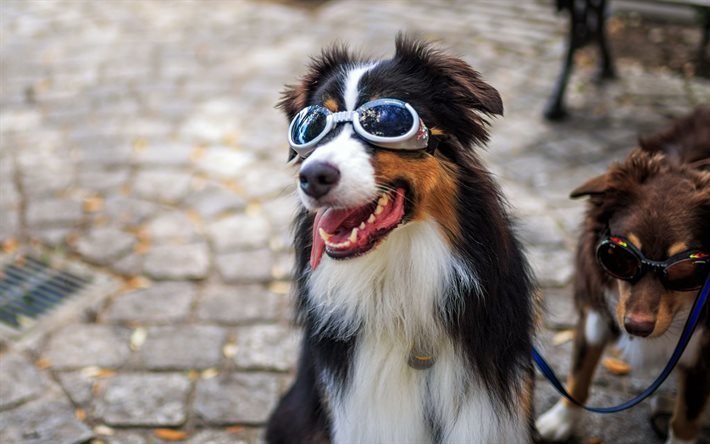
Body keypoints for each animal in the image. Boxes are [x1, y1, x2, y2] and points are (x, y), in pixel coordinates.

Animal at [540, 108, 710, 444]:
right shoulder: (597, 311)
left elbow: (686, 417)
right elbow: (579, 372)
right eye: (618, 256)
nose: (636, 327)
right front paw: (560, 421)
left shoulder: (705, 351)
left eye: (685, 269)